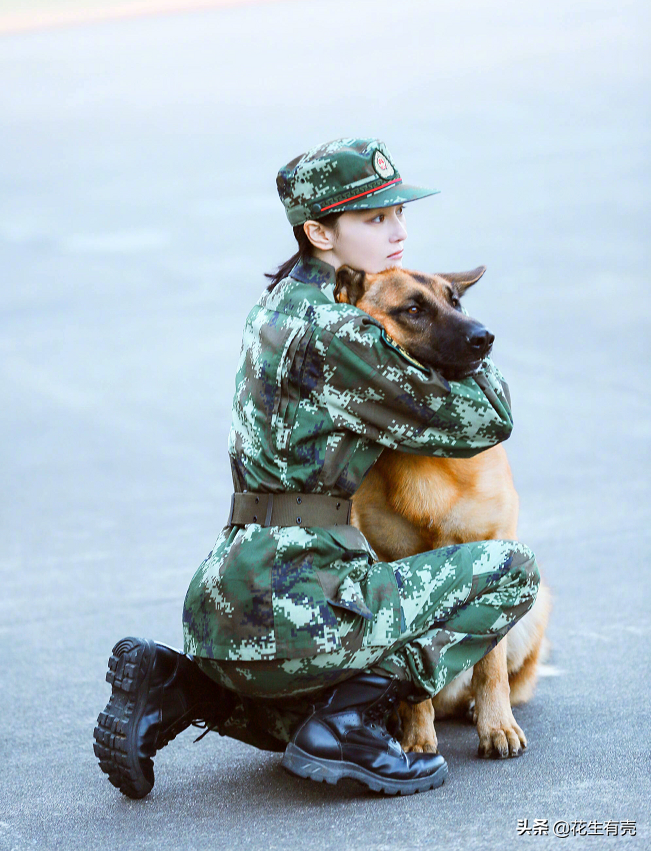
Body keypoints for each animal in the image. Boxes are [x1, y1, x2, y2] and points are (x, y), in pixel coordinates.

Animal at [334, 264, 552, 760]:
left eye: (456, 302)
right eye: (414, 309)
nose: (485, 337)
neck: (425, 460)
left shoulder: (495, 555)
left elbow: (490, 667)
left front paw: (497, 727)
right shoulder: (394, 573)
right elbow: (414, 678)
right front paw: (417, 737)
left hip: (535, 610)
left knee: (504, 677)